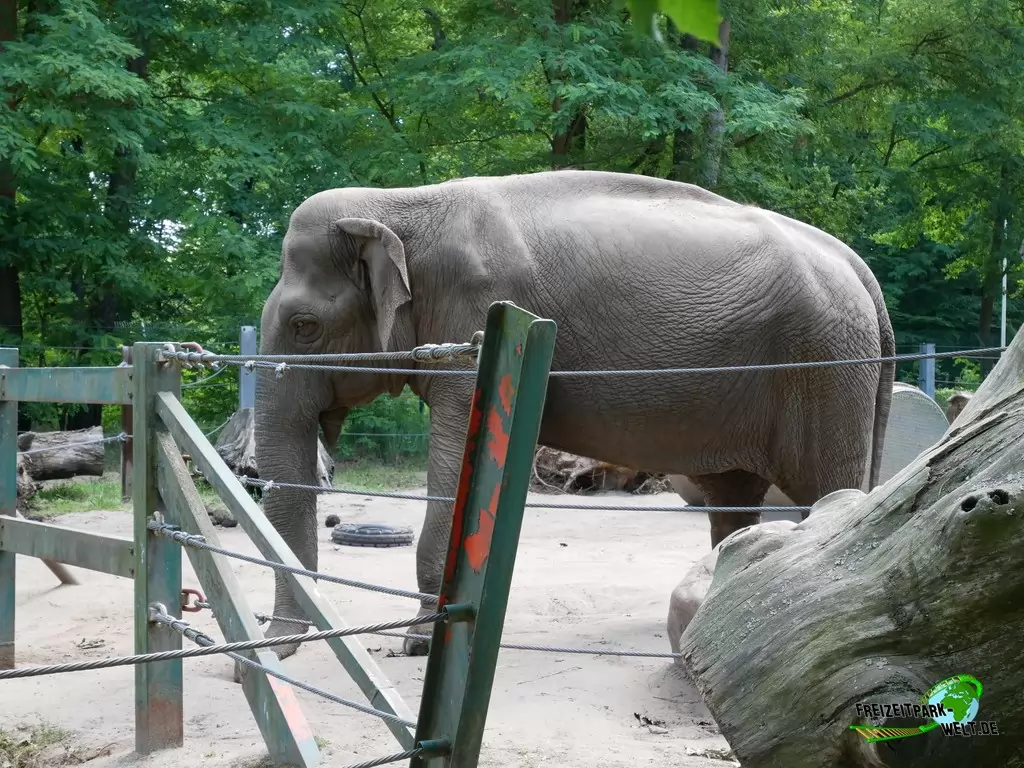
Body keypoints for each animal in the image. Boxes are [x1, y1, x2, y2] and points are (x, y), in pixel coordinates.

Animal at [254, 169, 895, 658]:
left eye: (305, 327)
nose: (268, 649)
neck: (400, 204)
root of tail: (861, 269)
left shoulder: (481, 325)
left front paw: (419, 646)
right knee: (732, 497)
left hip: (824, 366)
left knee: (824, 490)